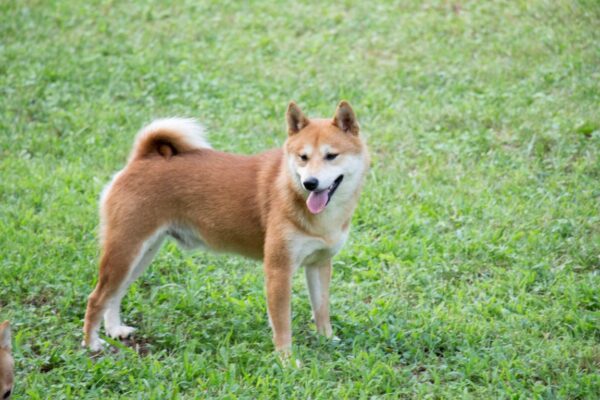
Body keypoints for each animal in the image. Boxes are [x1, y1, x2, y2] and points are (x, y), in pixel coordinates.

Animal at [82, 101, 368, 356]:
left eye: (331, 156)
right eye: (303, 157)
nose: (310, 183)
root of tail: (142, 158)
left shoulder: (319, 264)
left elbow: (321, 310)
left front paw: (328, 340)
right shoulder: (279, 270)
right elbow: (282, 324)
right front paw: (287, 361)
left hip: (142, 254)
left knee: (115, 295)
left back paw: (115, 329)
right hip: (125, 251)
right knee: (97, 297)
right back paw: (92, 343)